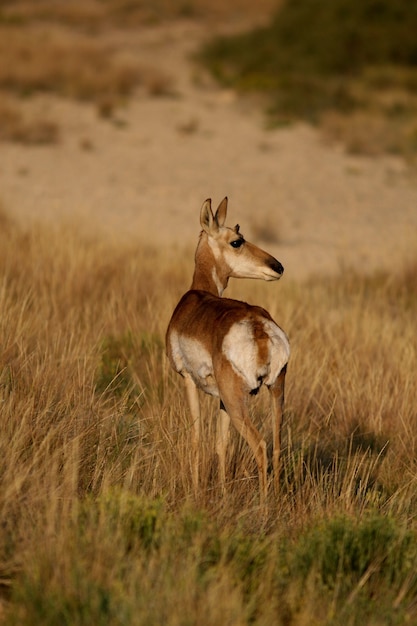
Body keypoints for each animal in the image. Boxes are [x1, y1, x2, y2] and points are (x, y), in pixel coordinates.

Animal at [164, 196, 288, 502]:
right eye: (237, 240)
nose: (278, 266)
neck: (198, 295)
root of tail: (259, 326)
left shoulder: (188, 381)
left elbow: (197, 437)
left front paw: (197, 491)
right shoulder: (220, 399)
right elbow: (221, 443)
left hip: (237, 401)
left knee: (260, 445)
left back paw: (264, 506)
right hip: (275, 393)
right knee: (277, 445)